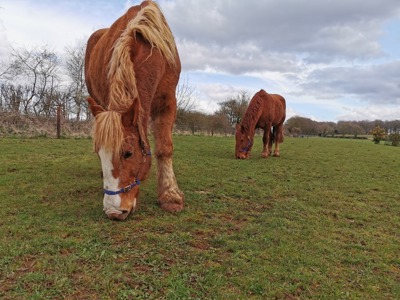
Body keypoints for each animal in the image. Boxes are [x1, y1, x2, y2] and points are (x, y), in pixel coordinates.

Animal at [85, 0, 184, 220]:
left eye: (128, 153)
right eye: (98, 154)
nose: (114, 212)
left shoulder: (167, 102)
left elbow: (165, 149)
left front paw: (170, 196)